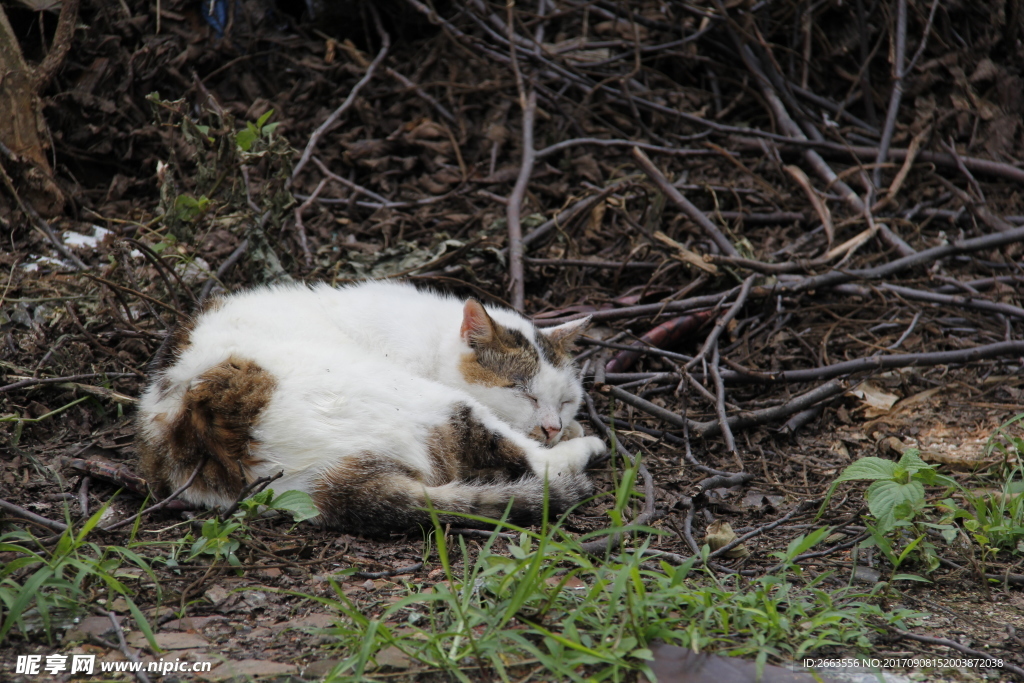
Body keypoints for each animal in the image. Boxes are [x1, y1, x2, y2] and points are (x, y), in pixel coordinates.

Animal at [132, 280, 602, 536]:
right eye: (523, 392)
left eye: (566, 400)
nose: (552, 426)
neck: (430, 339)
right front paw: (575, 437)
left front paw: (571, 428)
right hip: (427, 400)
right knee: (535, 463)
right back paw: (587, 447)